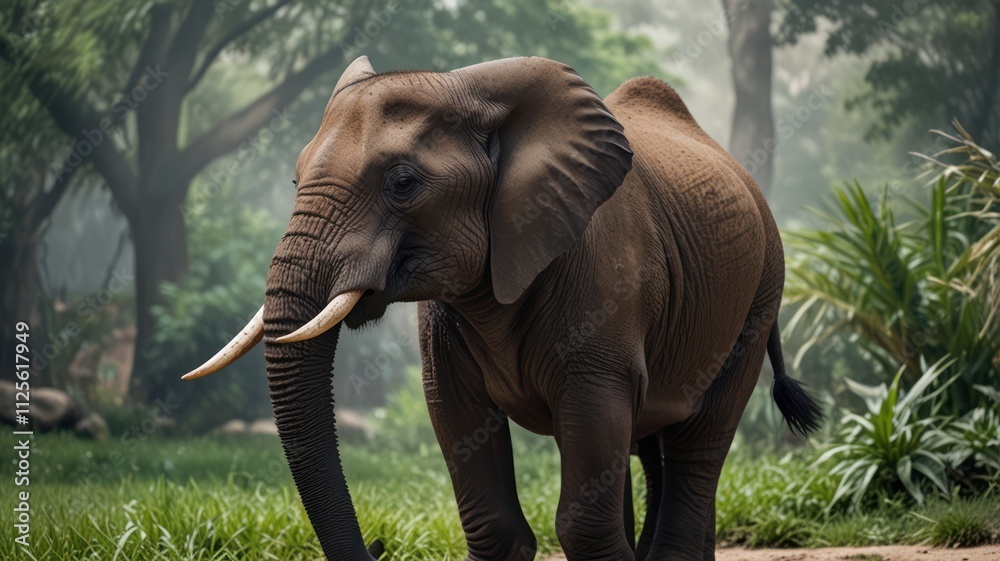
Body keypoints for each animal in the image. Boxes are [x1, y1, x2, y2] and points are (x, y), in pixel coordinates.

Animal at [184, 55, 821, 561]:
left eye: (403, 182)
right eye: (295, 180)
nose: (378, 544)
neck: (473, 89)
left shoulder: (608, 282)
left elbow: (584, 499)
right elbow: (470, 454)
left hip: (761, 291)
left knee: (700, 436)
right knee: (646, 444)